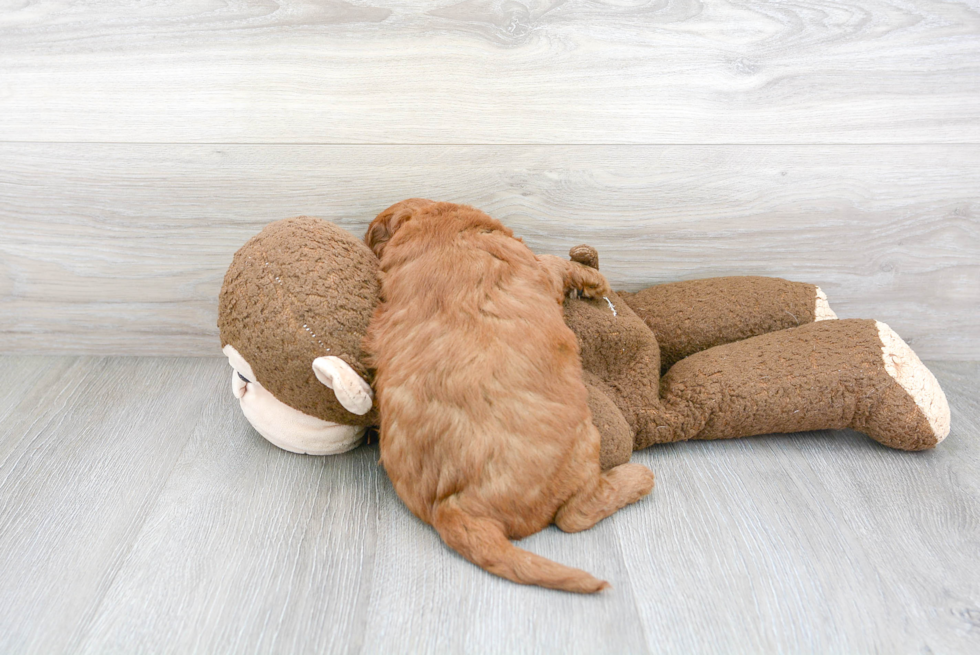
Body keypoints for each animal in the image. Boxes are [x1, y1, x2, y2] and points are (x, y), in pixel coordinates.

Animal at [364, 200, 656, 596]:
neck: (441, 231)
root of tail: (452, 508)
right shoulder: (536, 267)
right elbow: (555, 263)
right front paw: (593, 280)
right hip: (583, 447)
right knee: (575, 514)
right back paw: (637, 478)